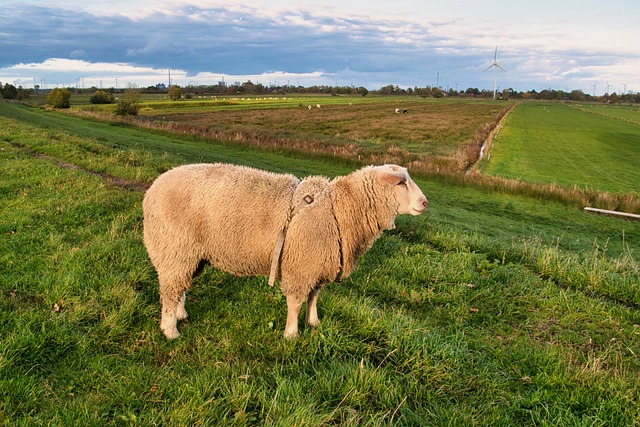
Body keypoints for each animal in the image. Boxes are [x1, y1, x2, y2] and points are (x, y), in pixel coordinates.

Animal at [142, 162, 428, 340]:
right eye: (401, 183)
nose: (425, 203)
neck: (338, 208)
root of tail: (152, 189)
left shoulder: (317, 266)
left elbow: (314, 297)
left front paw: (314, 323)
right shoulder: (301, 266)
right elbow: (296, 301)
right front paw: (291, 333)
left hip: (190, 254)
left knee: (180, 287)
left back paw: (181, 315)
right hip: (174, 247)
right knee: (170, 290)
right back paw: (170, 330)